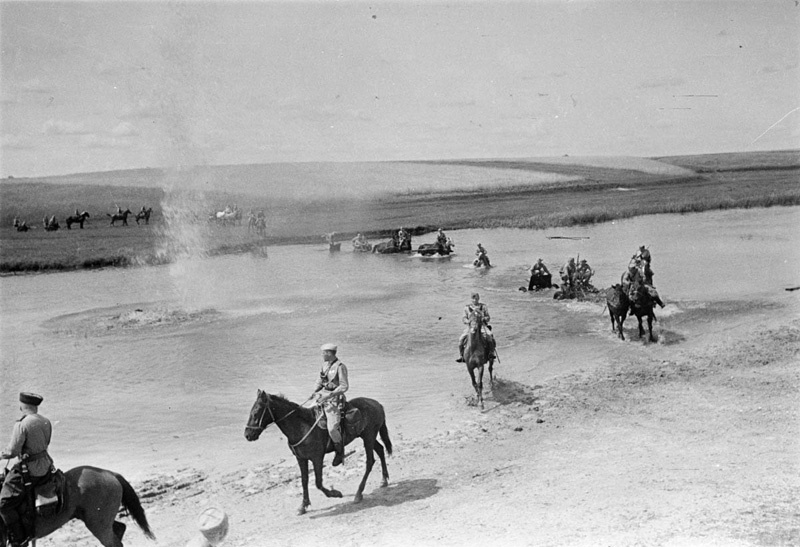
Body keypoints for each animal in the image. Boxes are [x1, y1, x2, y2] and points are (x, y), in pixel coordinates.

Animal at [244, 392, 394, 516]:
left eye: (256, 412)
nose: (247, 435)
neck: (301, 426)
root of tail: (377, 404)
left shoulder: (317, 458)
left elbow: (318, 482)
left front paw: (335, 493)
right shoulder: (301, 459)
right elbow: (304, 481)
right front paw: (303, 506)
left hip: (368, 437)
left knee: (370, 461)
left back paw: (358, 493)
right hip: (368, 437)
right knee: (380, 449)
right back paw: (384, 480)